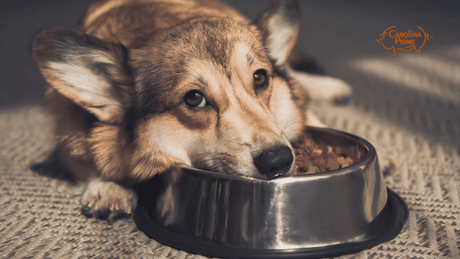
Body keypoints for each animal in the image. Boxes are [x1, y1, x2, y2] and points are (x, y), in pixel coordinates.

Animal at [30, 0, 350, 220]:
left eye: (260, 78)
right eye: (194, 99)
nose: (279, 160)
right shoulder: (69, 142)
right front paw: (109, 187)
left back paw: (332, 87)